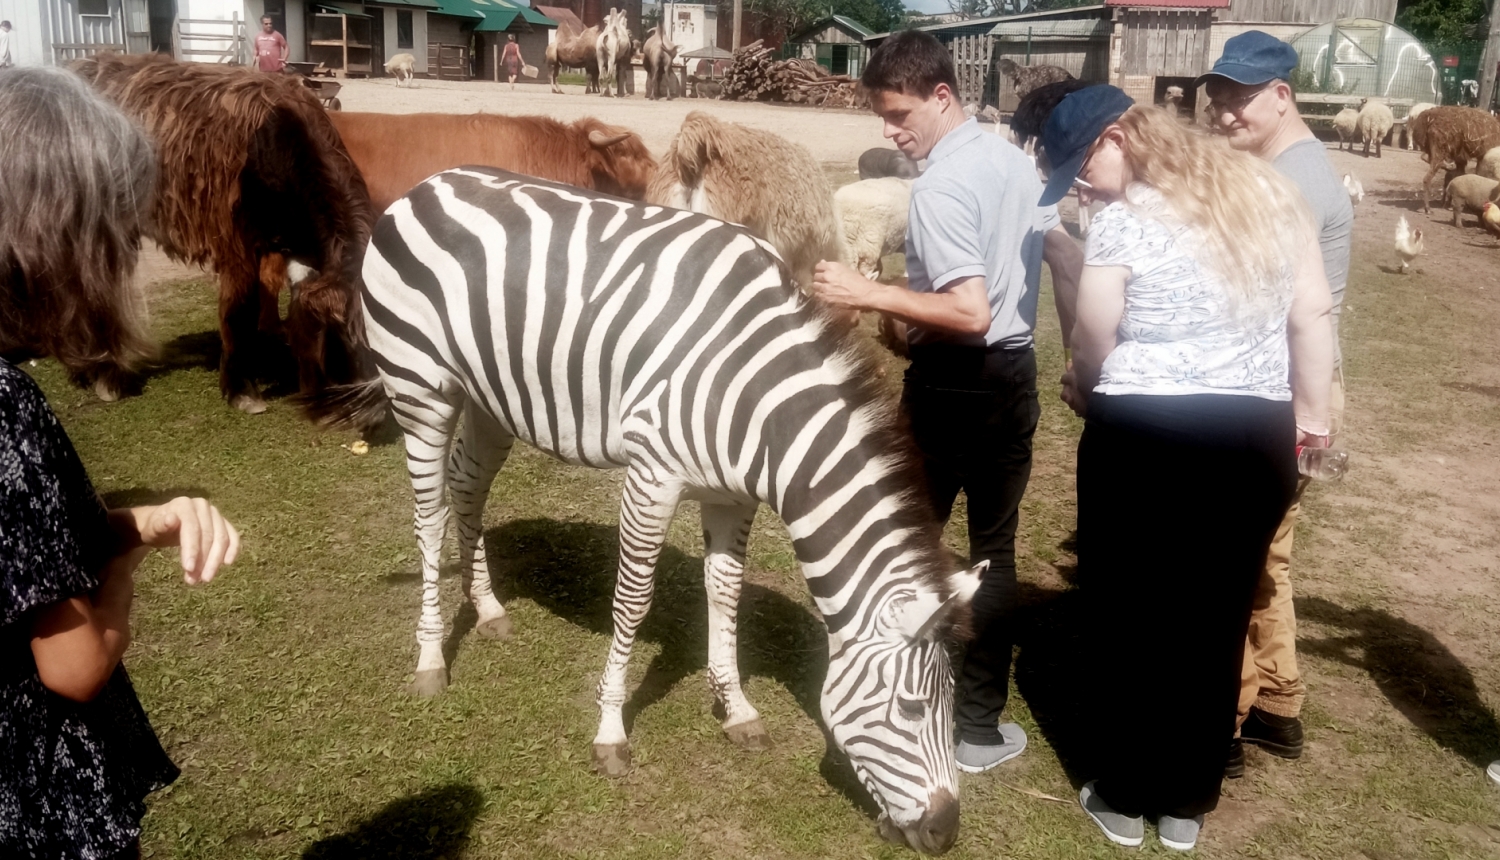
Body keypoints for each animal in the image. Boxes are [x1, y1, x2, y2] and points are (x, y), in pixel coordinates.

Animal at [313, 167, 984, 852]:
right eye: (912, 708)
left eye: (951, 708)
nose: (946, 833)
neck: (760, 403)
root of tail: (428, 183)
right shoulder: (652, 479)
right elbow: (632, 602)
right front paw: (610, 731)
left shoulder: (732, 496)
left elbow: (726, 593)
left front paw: (736, 708)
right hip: (420, 390)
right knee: (429, 517)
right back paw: (429, 660)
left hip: (489, 400)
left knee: (467, 489)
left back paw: (490, 608)